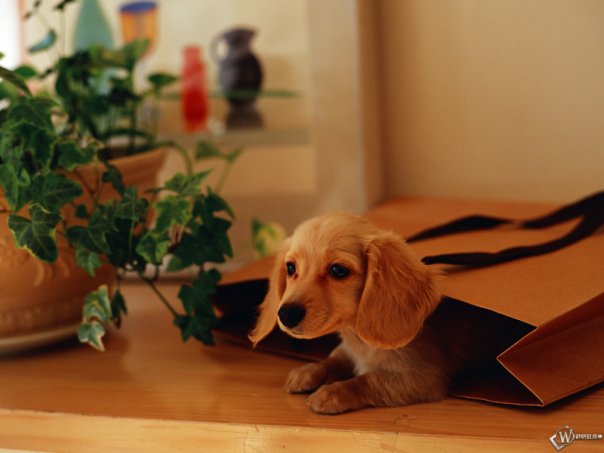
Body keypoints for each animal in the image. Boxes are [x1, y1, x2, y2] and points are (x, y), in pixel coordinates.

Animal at [251, 212, 516, 414]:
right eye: (290, 267)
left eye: (338, 270)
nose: (286, 314)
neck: (359, 339)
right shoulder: (348, 351)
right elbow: (334, 358)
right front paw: (310, 371)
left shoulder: (421, 378)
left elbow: (369, 380)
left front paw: (333, 392)